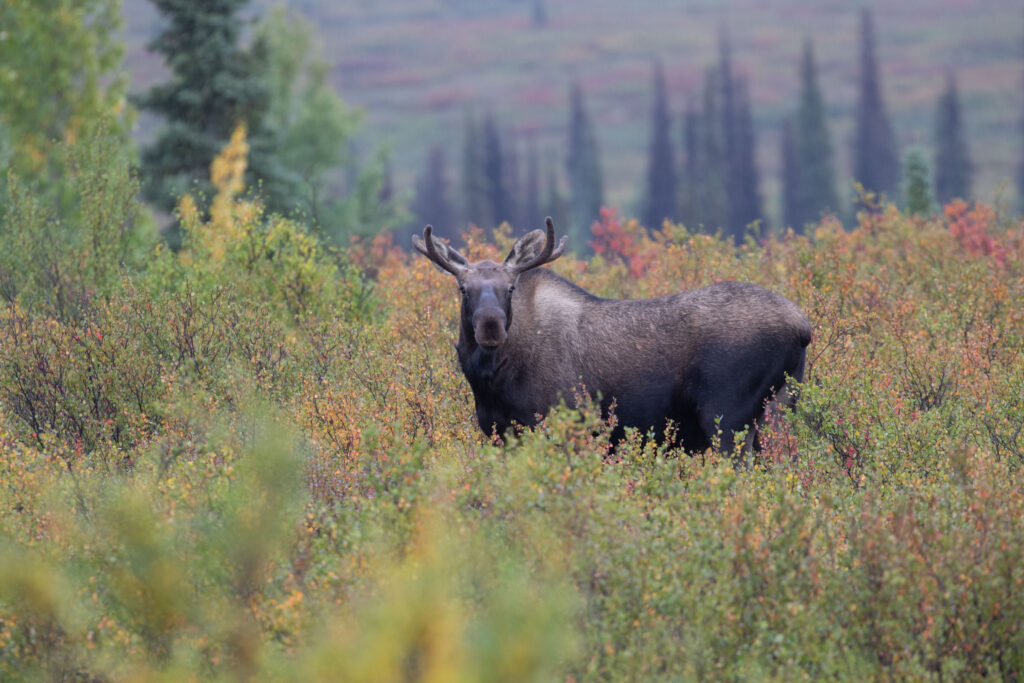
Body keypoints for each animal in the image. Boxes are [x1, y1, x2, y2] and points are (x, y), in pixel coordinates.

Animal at [411, 219, 811, 454]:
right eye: (463, 288)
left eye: (510, 288)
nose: (491, 325)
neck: (490, 382)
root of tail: (803, 327)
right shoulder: (500, 434)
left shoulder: (560, 426)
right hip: (780, 407)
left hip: (728, 415)